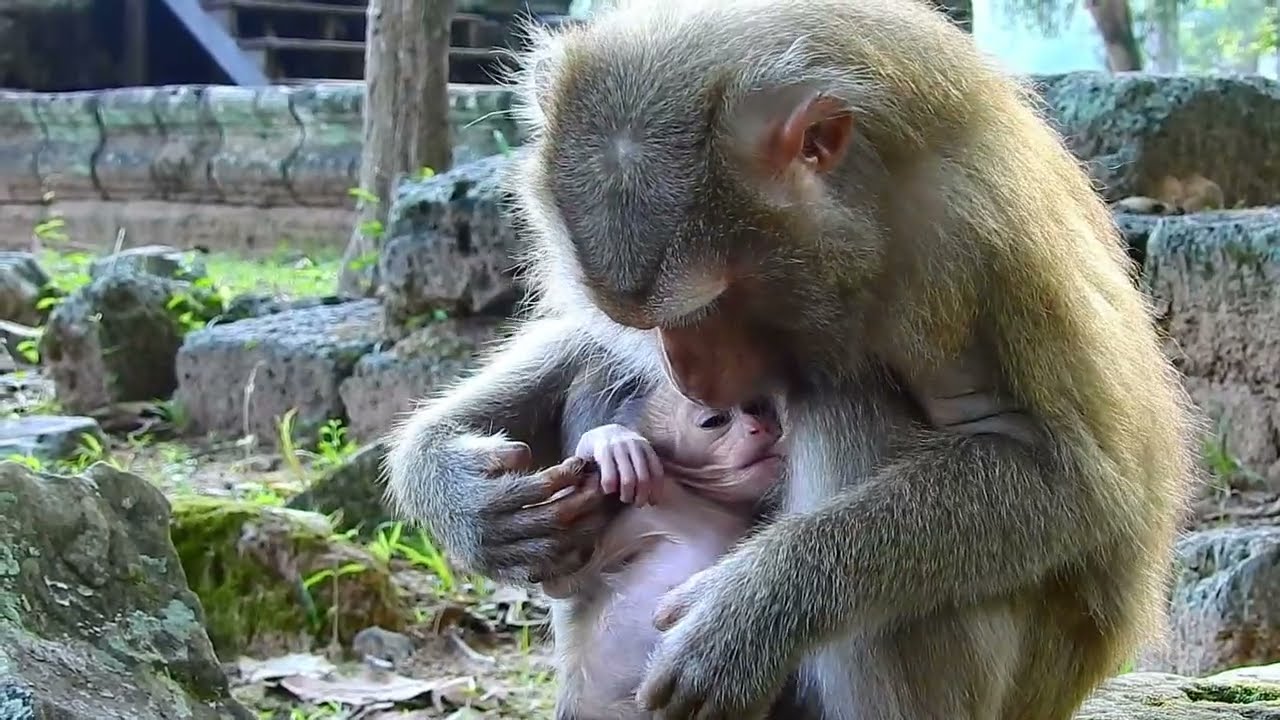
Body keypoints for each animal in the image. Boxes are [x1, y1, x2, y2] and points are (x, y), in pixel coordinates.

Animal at [543, 384, 786, 720]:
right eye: (714, 421)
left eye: (756, 409)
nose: (759, 427)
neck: (711, 504)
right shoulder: (647, 512)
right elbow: (561, 582)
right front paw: (607, 445)